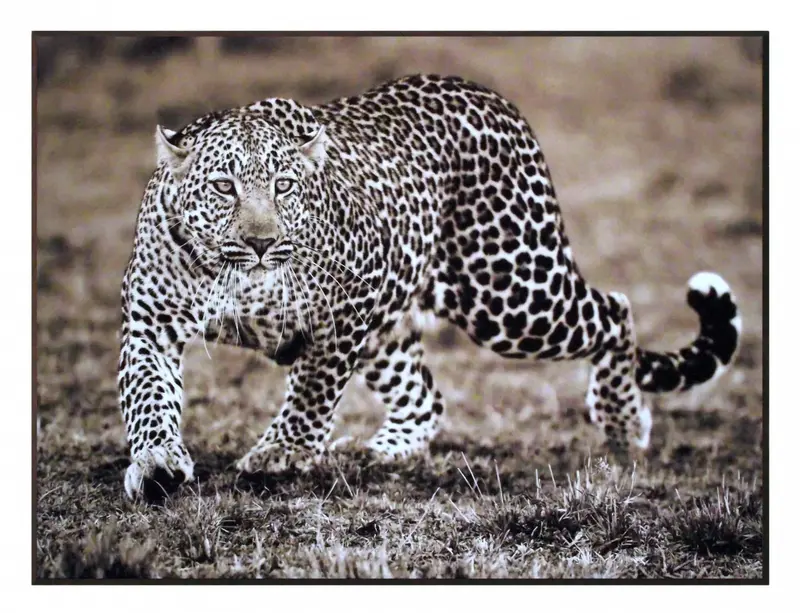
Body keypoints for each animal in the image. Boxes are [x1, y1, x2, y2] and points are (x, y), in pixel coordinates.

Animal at [118, 74, 742, 500]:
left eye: (285, 186)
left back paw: (623, 423)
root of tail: (492, 97)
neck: (237, 278)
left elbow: (312, 391)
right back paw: (381, 452)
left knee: (615, 311)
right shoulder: (150, 318)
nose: (261, 244)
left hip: (512, 294)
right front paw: (157, 464)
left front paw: (281, 453)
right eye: (223, 186)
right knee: (425, 398)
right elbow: (147, 395)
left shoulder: (347, 306)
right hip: (398, 325)